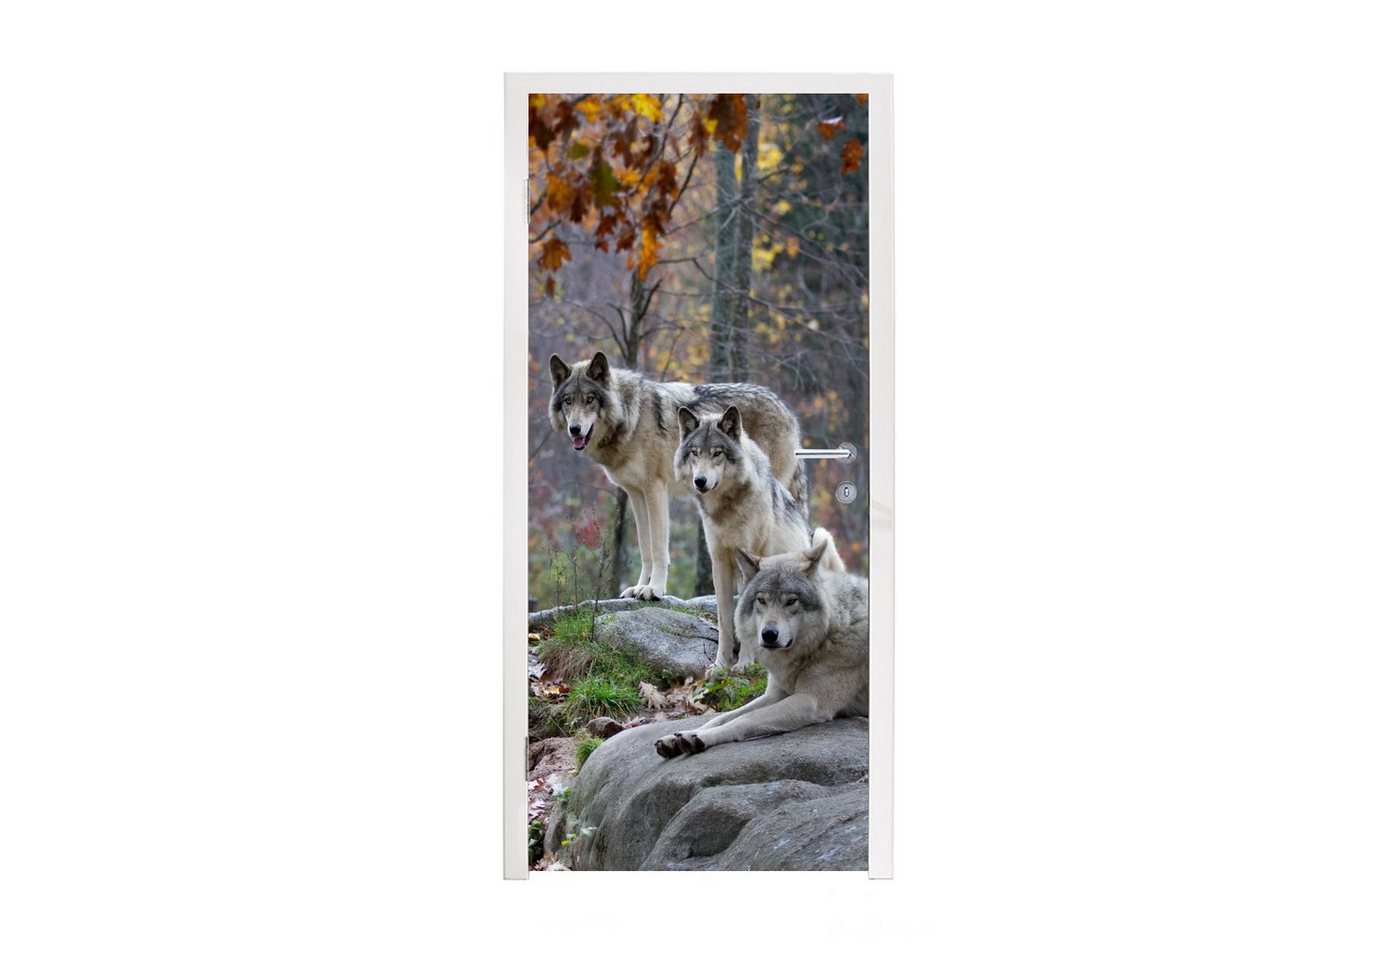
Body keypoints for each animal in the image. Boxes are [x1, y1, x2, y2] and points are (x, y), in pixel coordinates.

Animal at [547, 351, 806, 601]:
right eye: (568, 401)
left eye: (590, 399)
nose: (575, 429)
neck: (632, 417)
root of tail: (787, 408)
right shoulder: (635, 493)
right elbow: (645, 547)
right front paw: (639, 587)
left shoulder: (655, 489)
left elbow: (659, 548)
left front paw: (654, 590)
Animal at [654, 529, 868, 758]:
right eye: (761, 600)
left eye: (791, 601)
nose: (769, 635)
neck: (827, 636)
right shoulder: (775, 694)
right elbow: (722, 716)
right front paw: (680, 736)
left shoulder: (811, 701)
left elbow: (743, 719)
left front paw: (702, 738)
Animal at [674, 404, 812, 668]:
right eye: (695, 453)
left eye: (717, 453)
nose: (700, 481)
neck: (726, 509)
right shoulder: (719, 562)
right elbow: (725, 619)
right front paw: (720, 665)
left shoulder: (749, 562)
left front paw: (745, 664)